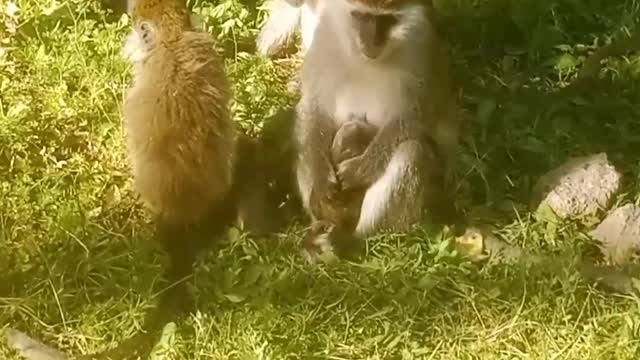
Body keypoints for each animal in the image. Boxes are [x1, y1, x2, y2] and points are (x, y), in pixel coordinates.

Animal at [296, 0, 464, 260]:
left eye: (386, 20)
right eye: (363, 16)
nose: (371, 42)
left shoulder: (421, 52)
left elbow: (410, 119)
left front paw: (357, 171)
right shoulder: (324, 41)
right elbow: (313, 108)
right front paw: (321, 177)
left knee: (412, 151)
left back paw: (354, 240)